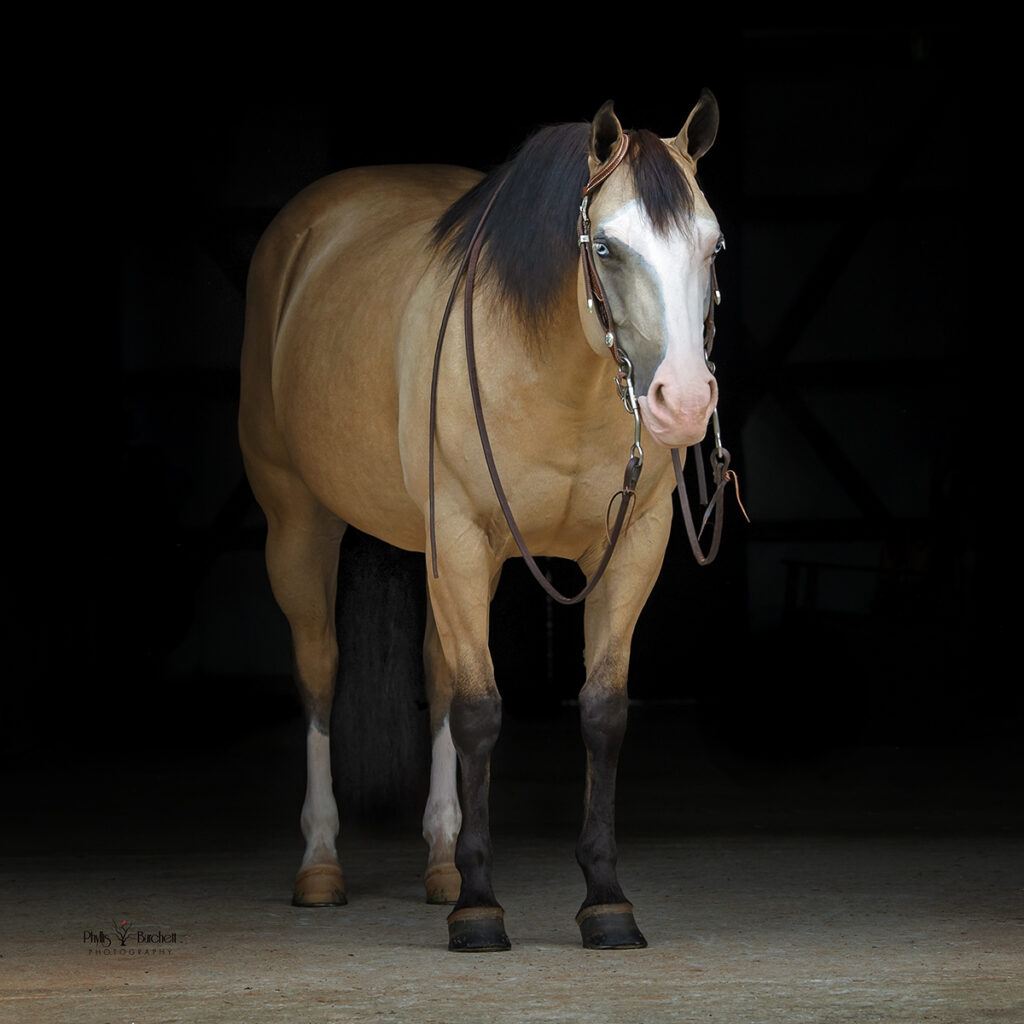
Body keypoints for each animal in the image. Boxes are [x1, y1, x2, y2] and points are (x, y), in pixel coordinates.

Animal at [237, 90, 737, 950]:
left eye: (713, 245)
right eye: (607, 246)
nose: (683, 402)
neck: (561, 374)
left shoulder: (631, 550)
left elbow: (600, 713)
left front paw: (605, 901)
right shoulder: (463, 539)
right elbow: (478, 713)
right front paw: (479, 908)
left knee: (438, 672)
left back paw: (440, 861)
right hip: (300, 526)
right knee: (320, 673)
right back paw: (322, 865)